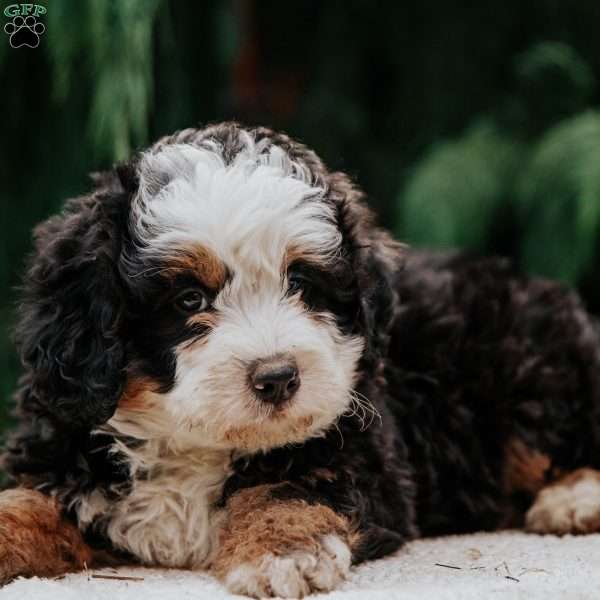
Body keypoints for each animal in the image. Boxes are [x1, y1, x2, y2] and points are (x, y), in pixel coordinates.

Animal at [1, 120, 600, 596]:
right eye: (189, 300)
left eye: (303, 285)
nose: (277, 378)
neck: (192, 444)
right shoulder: (63, 443)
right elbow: (27, 502)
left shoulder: (359, 450)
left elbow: (285, 488)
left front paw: (282, 551)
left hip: (532, 371)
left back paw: (575, 499)